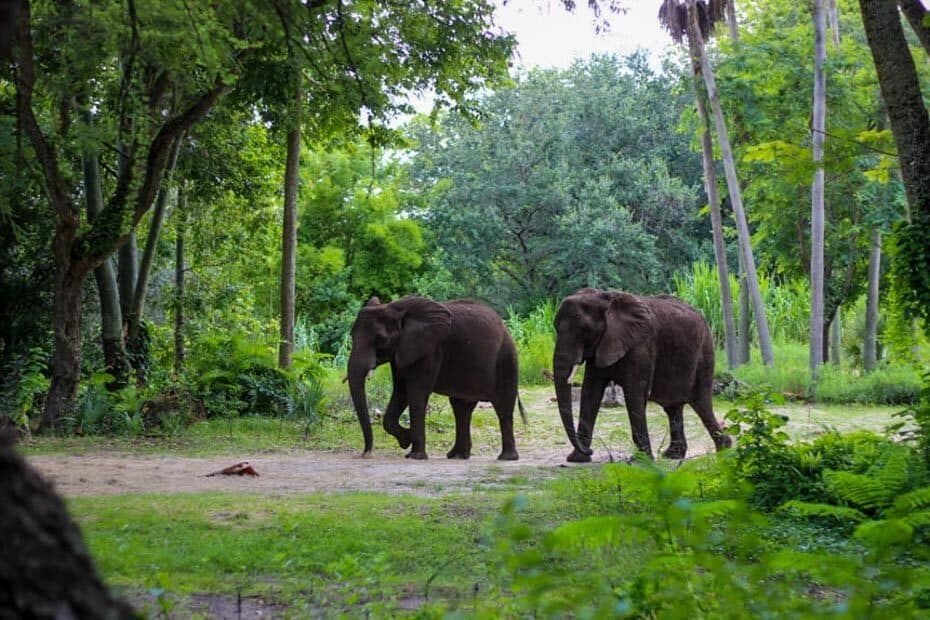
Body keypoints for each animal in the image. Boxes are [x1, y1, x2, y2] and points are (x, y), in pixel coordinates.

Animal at [348, 296, 520, 460]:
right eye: (351, 336)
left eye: (381, 340)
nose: (367, 453)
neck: (395, 307)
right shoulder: (403, 351)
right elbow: (401, 391)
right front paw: (407, 441)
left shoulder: (429, 349)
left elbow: (416, 392)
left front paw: (415, 456)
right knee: (461, 408)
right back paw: (457, 456)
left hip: (506, 358)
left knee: (502, 406)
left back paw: (506, 458)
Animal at [552, 288, 732, 462]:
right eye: (555, 328)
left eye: (584, 330)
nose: (590, 450)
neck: (604, 298)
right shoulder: (602, 345)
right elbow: (590, 392)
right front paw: (577, 459)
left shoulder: (641, 346)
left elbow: (634, 393)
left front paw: (641, 460)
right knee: (673, 407)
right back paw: (673, 455)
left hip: (704, 354)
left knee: (701, 403)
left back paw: (725, 448)